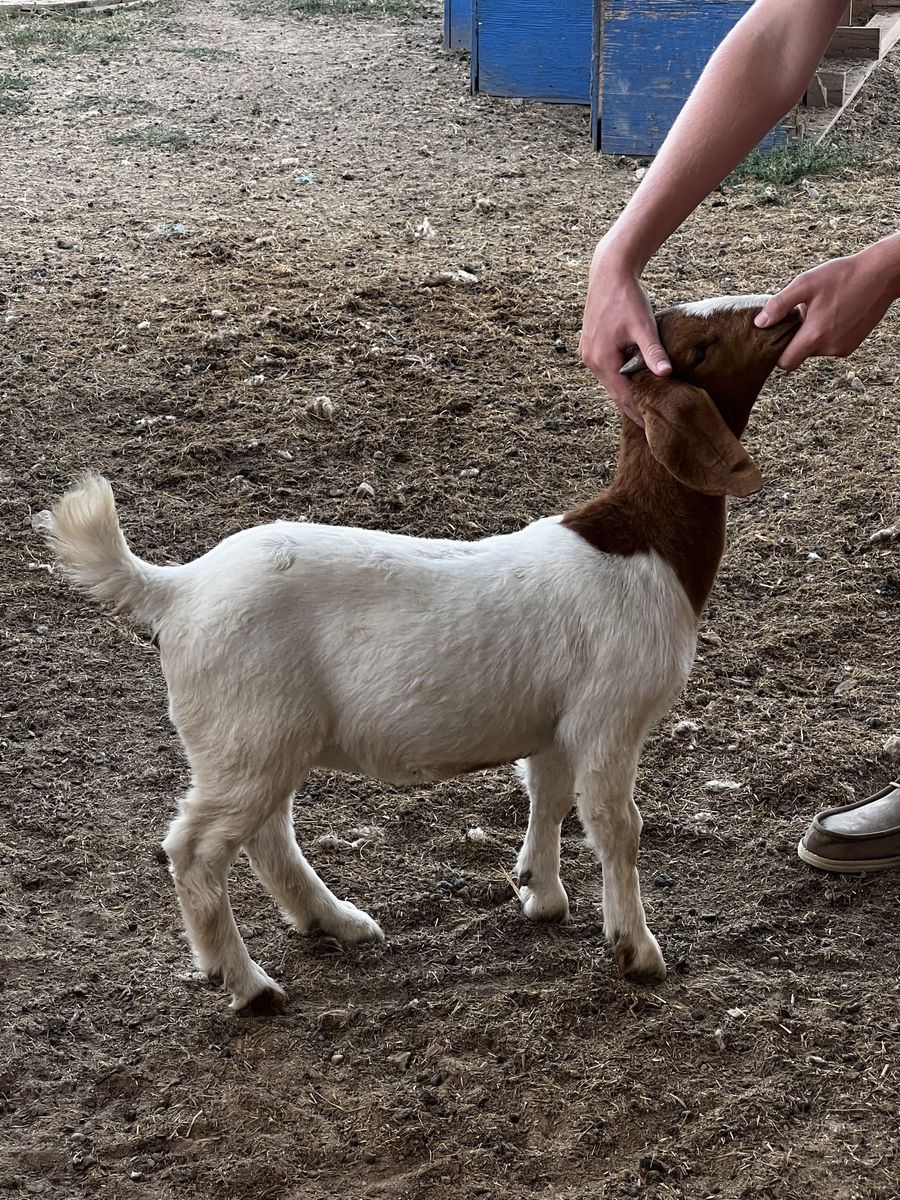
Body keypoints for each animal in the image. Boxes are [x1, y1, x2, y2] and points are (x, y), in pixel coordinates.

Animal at [35, 295, 800, 1012]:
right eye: (701, 348)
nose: (785, 313)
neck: (644, 541)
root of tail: (178, 588)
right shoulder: (611, 715)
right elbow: (617, 826)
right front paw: (637, 950)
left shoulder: (555, 722)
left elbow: (548, 795)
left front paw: (540, 893)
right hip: (248, 730)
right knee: (197, 851)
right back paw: (250, 985)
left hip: (257, 739)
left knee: (266, 834)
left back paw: (335, 922)